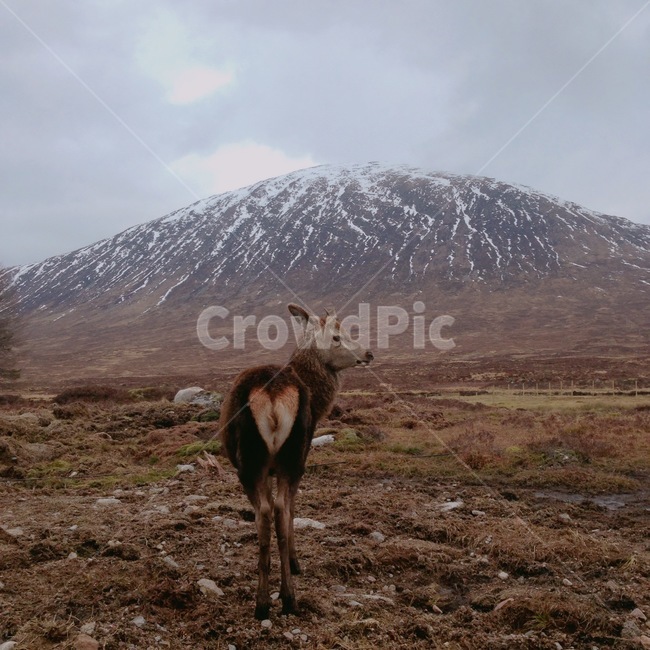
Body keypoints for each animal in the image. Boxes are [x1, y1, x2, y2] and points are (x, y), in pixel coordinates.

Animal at [219, 303, 374, 619]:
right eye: (337, 336)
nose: (368, 353)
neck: (317, 400)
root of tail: (272, 394)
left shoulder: (267, 470)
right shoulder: (290, 464)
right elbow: (290, 510)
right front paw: (292, 561)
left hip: (253, 463)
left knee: (268, 513)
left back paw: (267, 600)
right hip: (289, 458)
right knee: (279, 510)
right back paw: (286, 596)